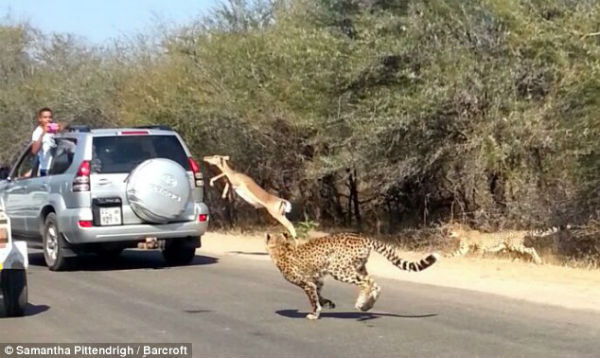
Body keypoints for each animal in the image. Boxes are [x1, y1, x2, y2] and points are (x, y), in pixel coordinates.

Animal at [264, 232, 438, 322]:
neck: (281, 247)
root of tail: (361, 237)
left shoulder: (307, 283)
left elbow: (314, 300)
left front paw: (314, 314)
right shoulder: (316, 281)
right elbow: (319, 295)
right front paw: (328, 303)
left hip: (339, 270)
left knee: (366, 283)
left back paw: (360, 304)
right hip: (358, 267)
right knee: (375, 284)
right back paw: (366, 306)